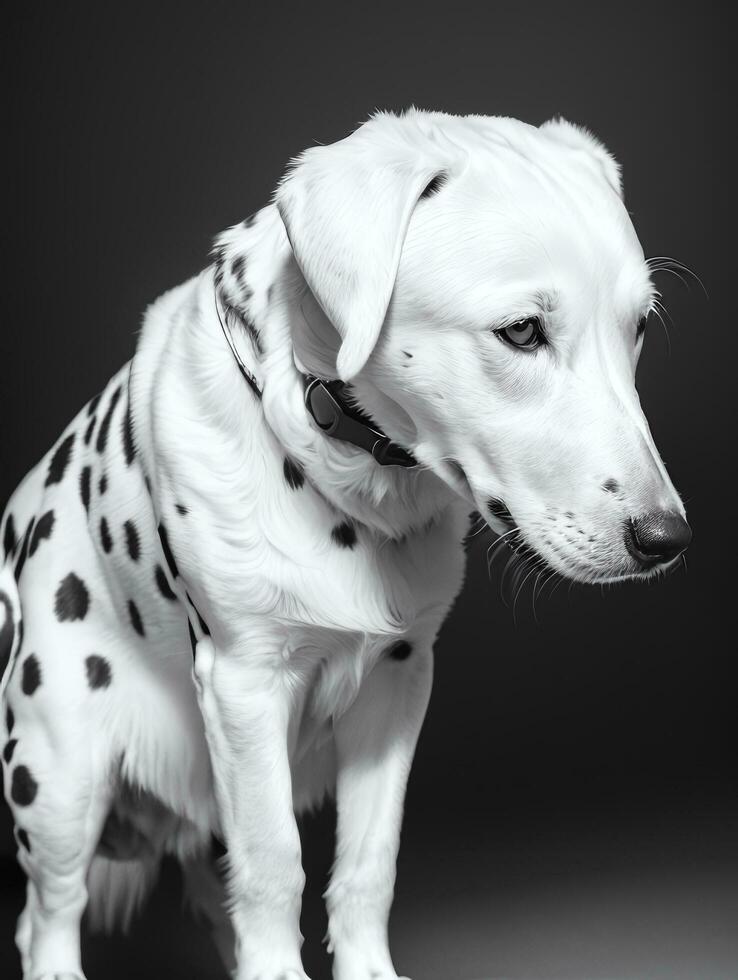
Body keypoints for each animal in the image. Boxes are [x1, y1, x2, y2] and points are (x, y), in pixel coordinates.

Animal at [0, 109, 688, 980]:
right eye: (522, 331)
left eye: (639, 327)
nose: (668, 538)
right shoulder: (246, 686)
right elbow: (273, 866)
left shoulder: (399, 684)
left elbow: (365, 864)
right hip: (60, 778)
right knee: (49, 914)